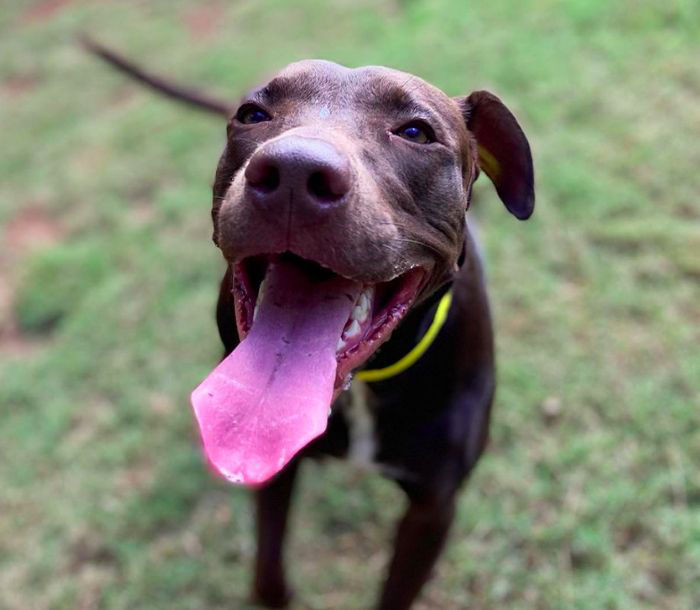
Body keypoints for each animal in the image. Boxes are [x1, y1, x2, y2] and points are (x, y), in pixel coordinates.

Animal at [87, 39, 536, 608]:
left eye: (416, 132)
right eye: (252, 115)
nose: (295, 173)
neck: (361, 386)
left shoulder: (433, 507)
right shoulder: (271, 468)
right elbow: (267, 570)